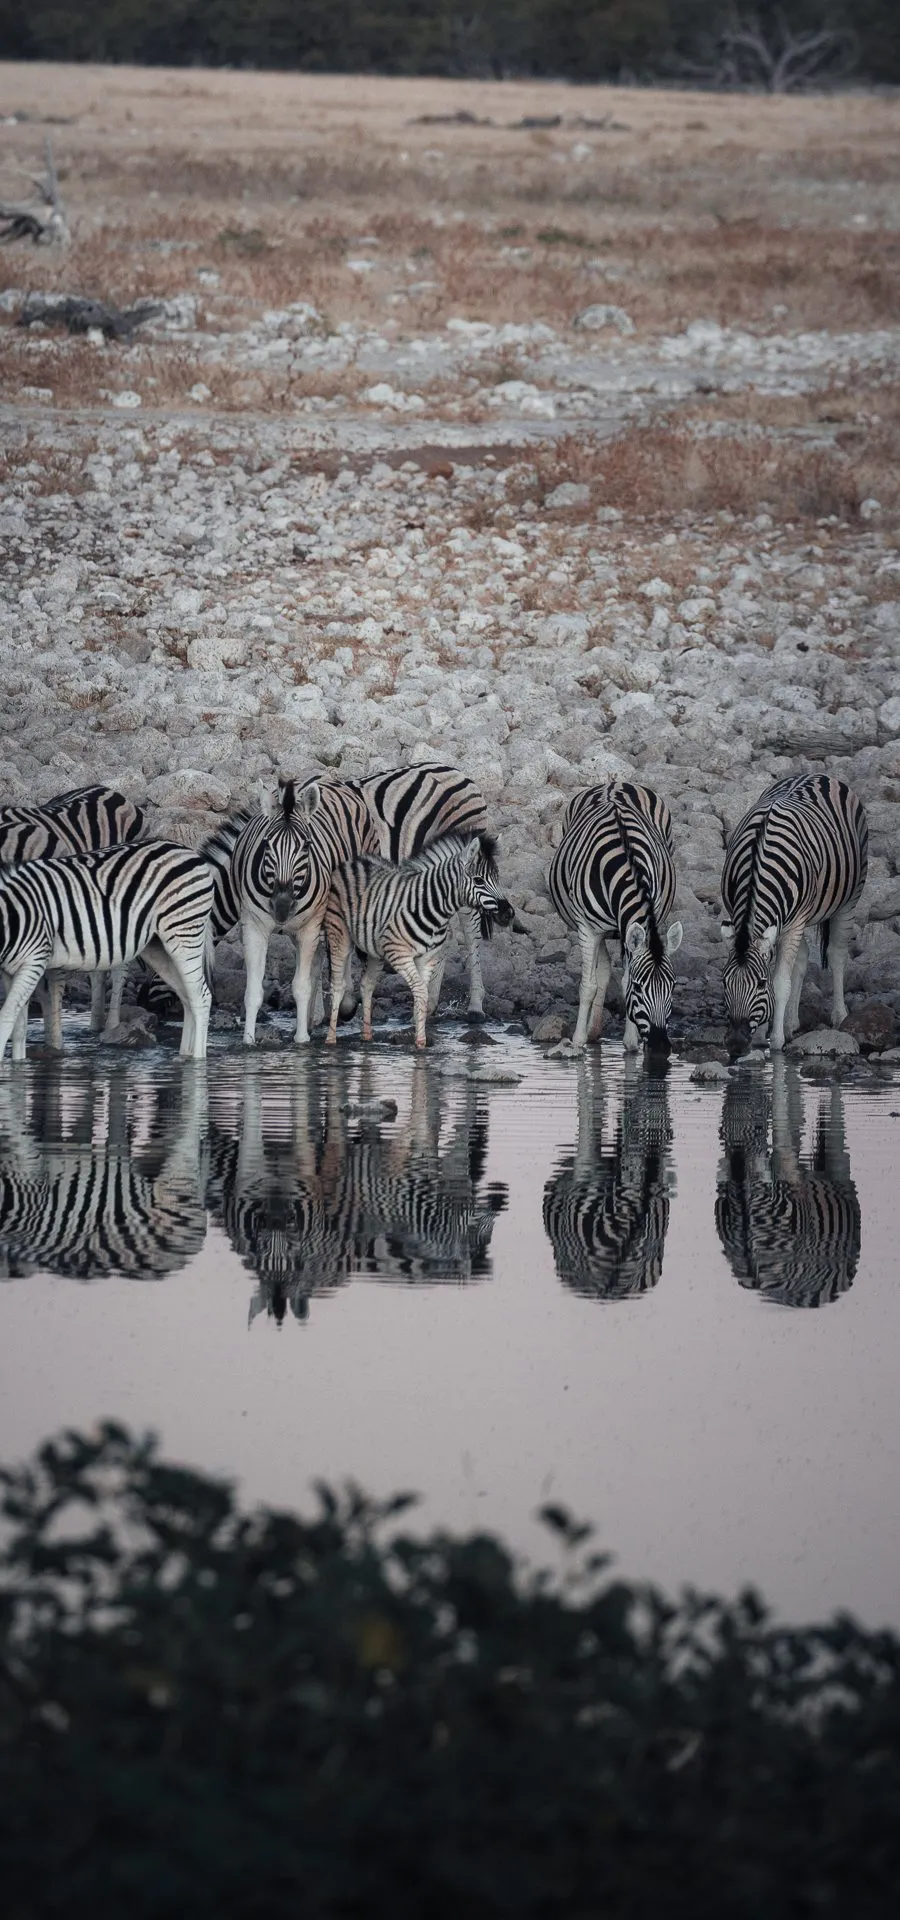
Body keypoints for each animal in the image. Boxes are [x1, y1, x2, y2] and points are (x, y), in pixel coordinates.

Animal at [0, 842, 214, 1063]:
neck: (13, 916)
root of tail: (185, 849)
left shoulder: (34, 960)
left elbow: (6, 1019)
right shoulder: (10, 970)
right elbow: (18, 1026)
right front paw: (18, 1065)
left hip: (184, 933)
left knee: (201, 997)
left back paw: (198, 1060)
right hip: (157, 947)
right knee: (187, 997)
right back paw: (184, 1055)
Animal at [221, 778, 370, 1046]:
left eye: (306, 846)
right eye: (267, 844)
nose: (282, 906)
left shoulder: (308, 929)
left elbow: (301, 987)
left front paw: (301, 1040)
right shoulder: (253, 927)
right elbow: (254, 991)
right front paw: (248, 1041)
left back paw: (344, 1003)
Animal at [324, 833, 515, 1050]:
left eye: (497, 878)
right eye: (479, 880)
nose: (508, 913)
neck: (429, 904)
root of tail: (354, 860)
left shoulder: (427, 956)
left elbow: (421, 993)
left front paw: (420, 1037)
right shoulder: (399, 953)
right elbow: (422, 991)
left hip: (374, 951)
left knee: (367, 984)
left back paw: (366, 1035)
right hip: (341, 934)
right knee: (338, 984)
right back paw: (331, 1038)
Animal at [547, 780, 683, 1055]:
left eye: (673, 986)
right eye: (640, 988)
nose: (660, 1046)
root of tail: (615, 782)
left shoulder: (634, 925)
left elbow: (624, 977)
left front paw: (631, 1042)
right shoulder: (587, 929)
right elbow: (588, 985)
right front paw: (577, 1040)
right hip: (594, 929)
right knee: (599, 972)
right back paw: (591, 1031)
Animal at [721, 774, 868, 1058]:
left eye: (760, 984)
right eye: (724, 982)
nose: (734, 1045)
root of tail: (818, 775)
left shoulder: (793, 923)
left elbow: (780, 983)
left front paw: (776, 1040)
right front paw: (766, 1033)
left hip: (848, 900)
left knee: (836, 954)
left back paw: (839, 1016)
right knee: (802, 958)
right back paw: (791, 1023)